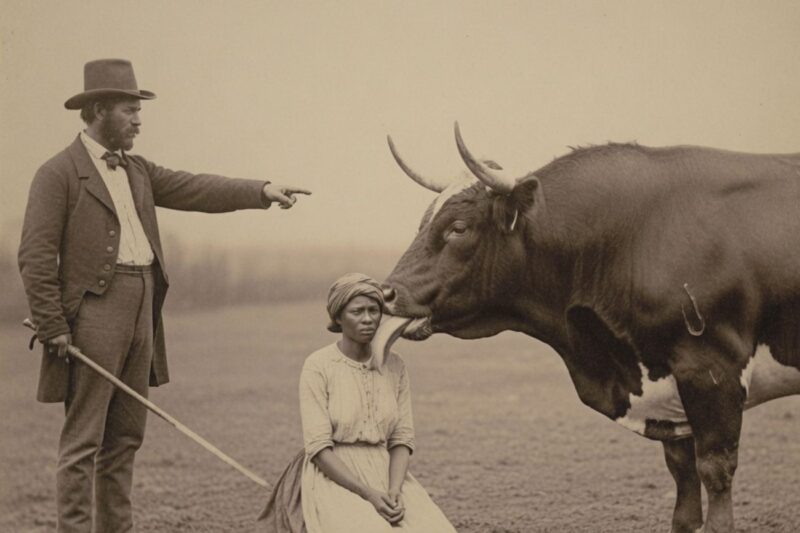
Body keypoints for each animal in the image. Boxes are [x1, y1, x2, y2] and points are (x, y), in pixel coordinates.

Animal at [372, 123, 800, 533]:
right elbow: (683, 486)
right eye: (423, 222)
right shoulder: (669, 391)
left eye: (458, 228)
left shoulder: (712, 370)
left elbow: (715, 471)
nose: (386, 292)